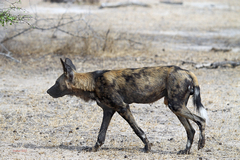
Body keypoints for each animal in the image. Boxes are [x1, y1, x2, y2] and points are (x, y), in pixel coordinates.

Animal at [47, 58, 208, 154]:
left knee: (201, 120)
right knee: (191, 129)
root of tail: (188, 71)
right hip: (176, 107)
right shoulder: (108, 110)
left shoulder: (123, 108)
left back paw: (201, 144)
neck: (93, 82)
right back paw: (186, 151)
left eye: (56, 83)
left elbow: (138, 130)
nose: (48, 91)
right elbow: (101, 134)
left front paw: (147, 147)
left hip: (176, 106)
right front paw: (94, 148)